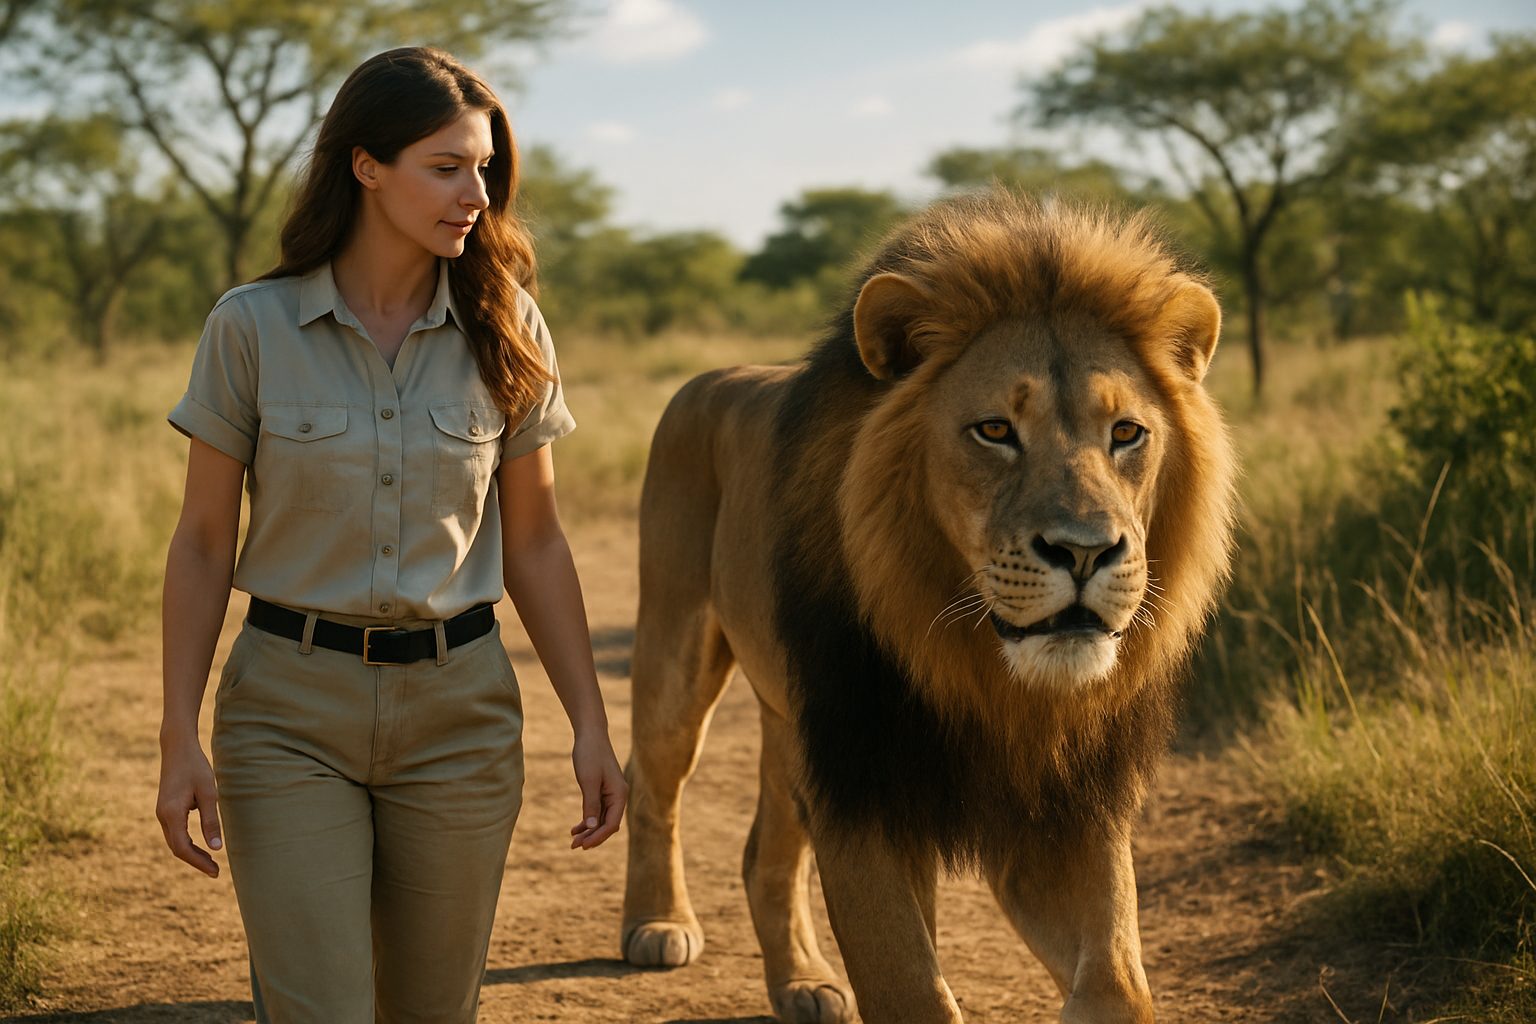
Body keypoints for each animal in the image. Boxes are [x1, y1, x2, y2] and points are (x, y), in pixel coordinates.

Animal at [619, 190, 1238, 1024]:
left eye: (1126, 433)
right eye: (995, 430)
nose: (1084, 552)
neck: (980, 665)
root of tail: (708, 378)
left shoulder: (1066, 804)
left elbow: (1115, 980)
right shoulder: (862, 788)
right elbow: (911, 985)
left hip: (792, 720)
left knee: (764, 851)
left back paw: (802, 981)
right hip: (678, 649)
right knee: (650, 779)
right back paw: (657, 924)